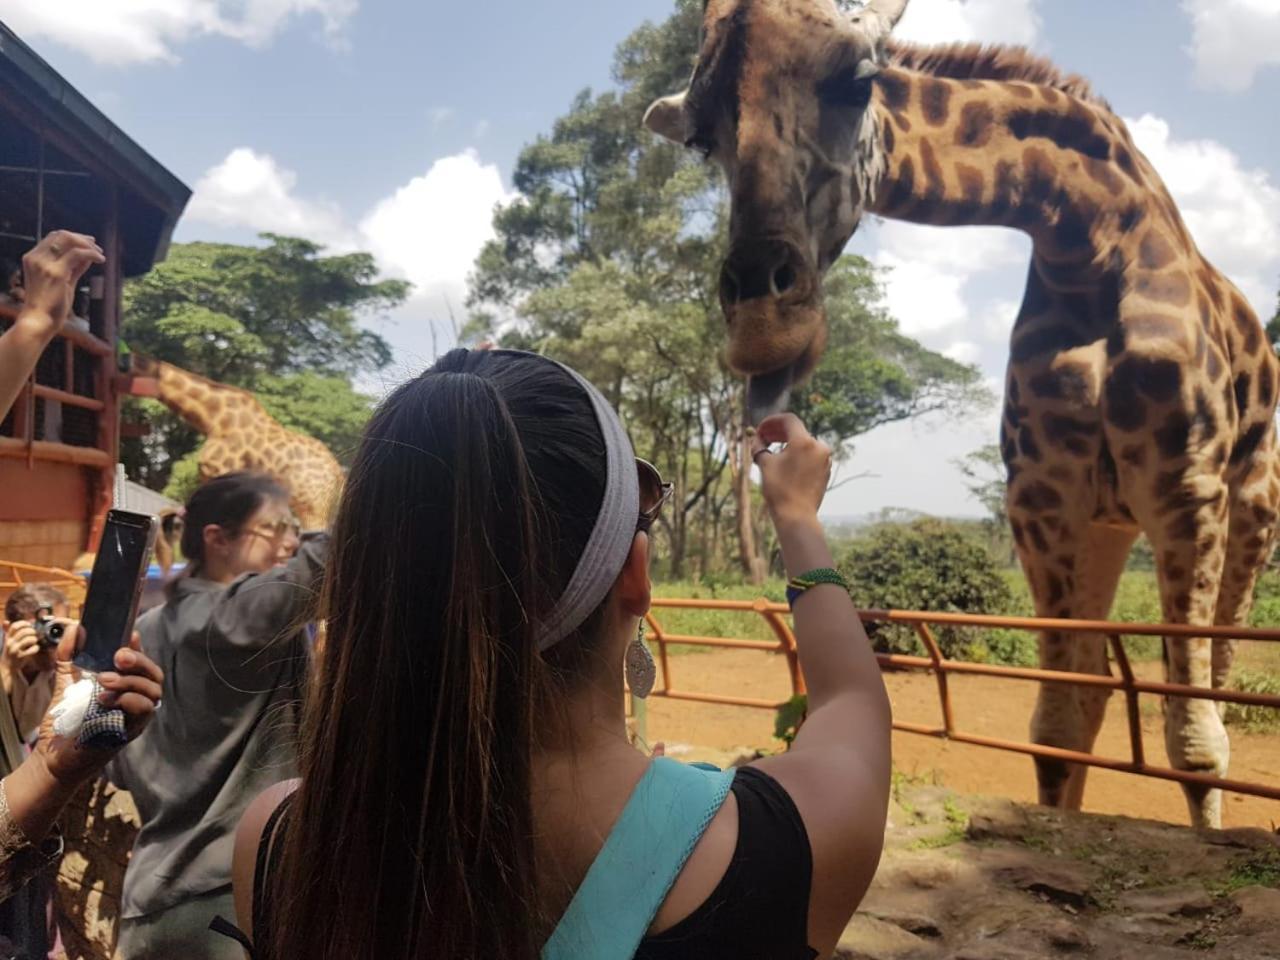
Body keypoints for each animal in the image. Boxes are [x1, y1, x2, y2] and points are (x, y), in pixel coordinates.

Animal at [645, 0, 1280, 829]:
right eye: (701, 136)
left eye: (858, 81)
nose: (762, 331)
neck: (1089, 241)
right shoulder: (1043, 498)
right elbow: (1059, 723)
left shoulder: (1186, 489)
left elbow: (1195, 739)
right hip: (1108, 524)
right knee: (1102, 694)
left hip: (1252, 507)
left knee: (1223, 679)